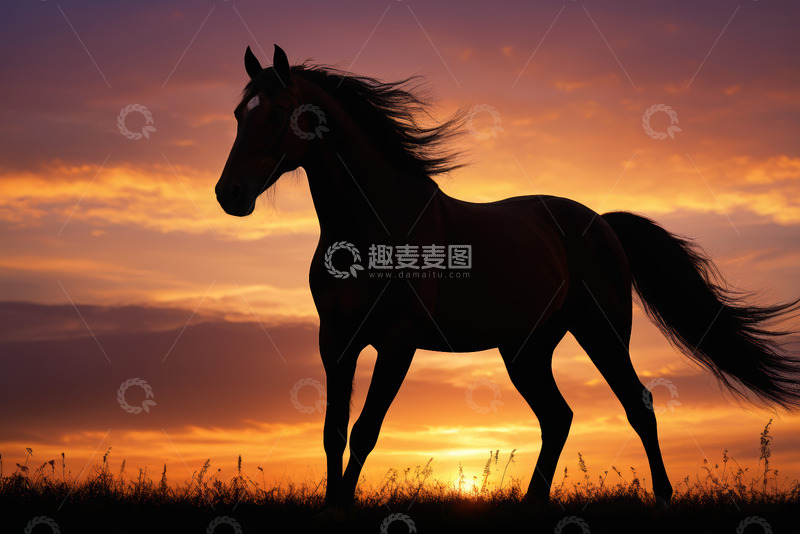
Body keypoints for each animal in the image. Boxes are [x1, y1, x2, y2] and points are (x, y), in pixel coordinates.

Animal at [215, 45, 800, 513]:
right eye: (239, 115)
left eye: (280, 113)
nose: (229, 195)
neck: (375, 224)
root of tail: (602, 223)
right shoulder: (335, 340)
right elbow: (333, 431)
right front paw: (332, 506)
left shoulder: (397, 341)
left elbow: (364, 430)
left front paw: (342, 505)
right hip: (527, 350)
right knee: (558, 416)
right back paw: (533, 502)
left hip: (602, 332)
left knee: (638, 404)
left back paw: (661, 497)